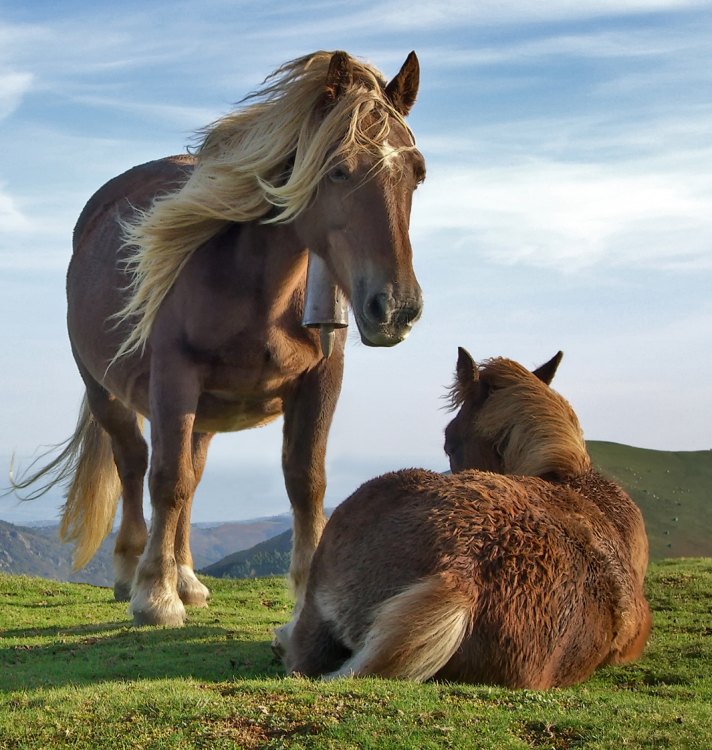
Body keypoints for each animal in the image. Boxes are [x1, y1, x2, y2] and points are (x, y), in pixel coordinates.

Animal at [12, 51, 422, 628]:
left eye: (417, 174)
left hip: (207, 409)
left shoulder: (321, 380)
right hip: (105, 390)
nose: (396, 308)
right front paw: (155, 596)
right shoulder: (174, 377)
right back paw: (132, 570)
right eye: (339, 170)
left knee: (193, 474)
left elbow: (306, 482)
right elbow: (165, 478)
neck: (257, 286)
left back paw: (186, 577)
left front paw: (303, 599)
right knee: (135, 463)